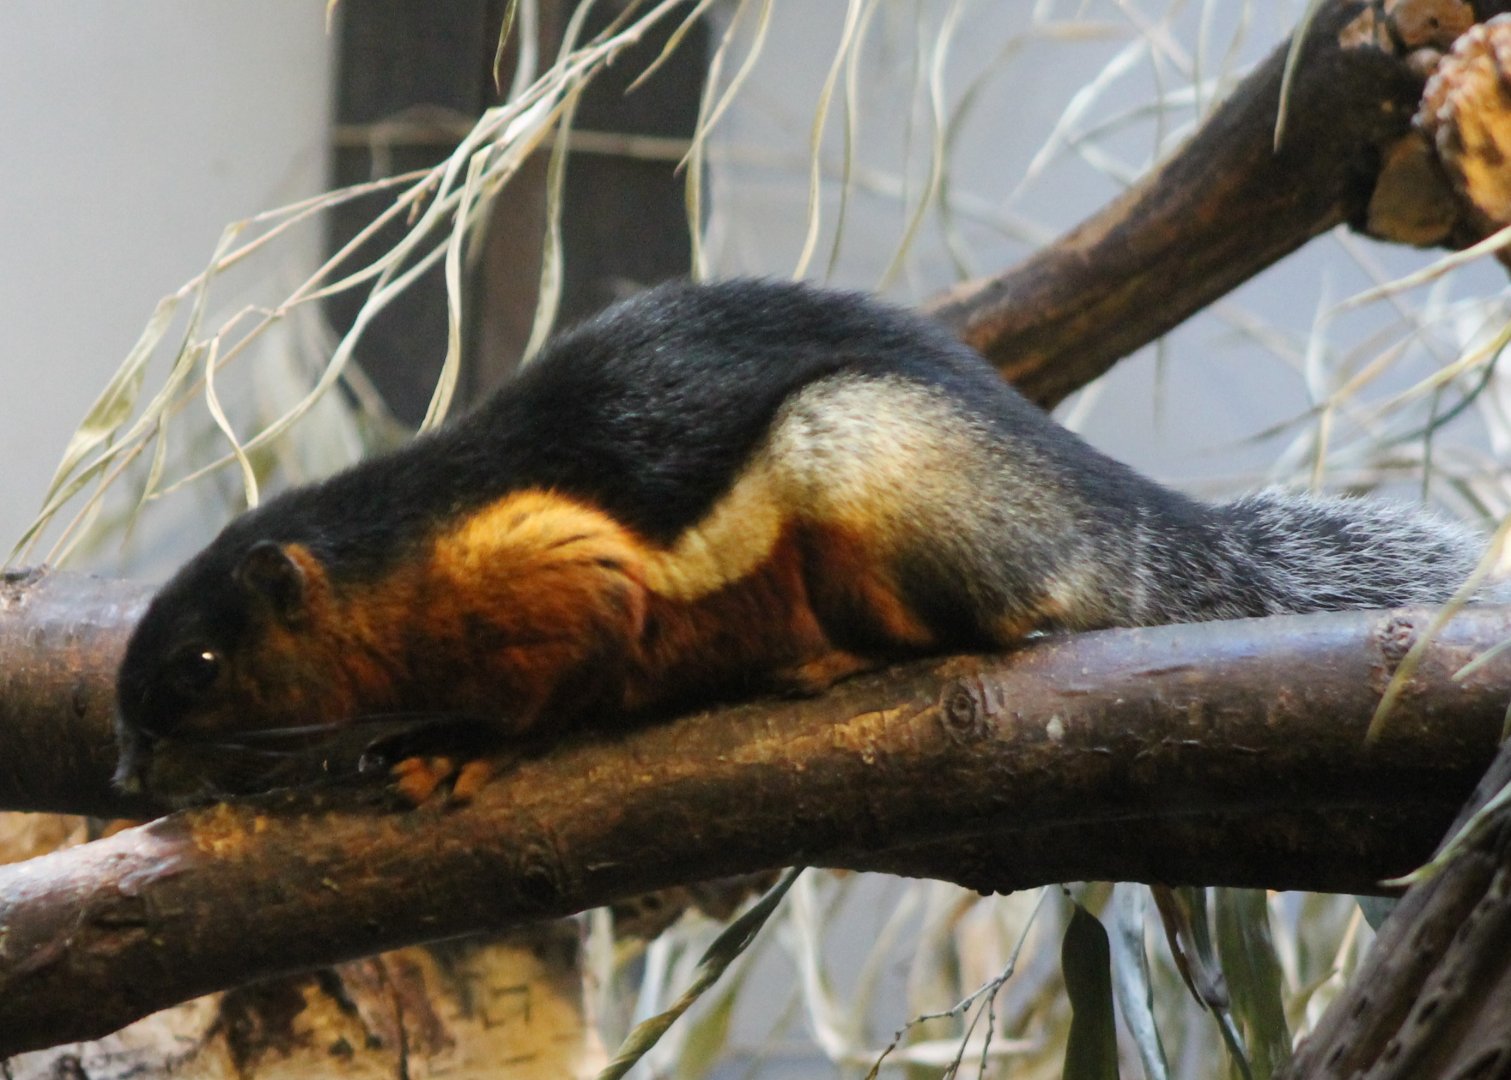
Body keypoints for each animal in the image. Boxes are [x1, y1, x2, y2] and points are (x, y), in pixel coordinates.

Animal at [114, 278, 1500, 803]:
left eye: (199, 664)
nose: (126, 776)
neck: (397, 557)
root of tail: (1092, 509)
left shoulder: (565, 572)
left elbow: (557, 683)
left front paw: (457, 746)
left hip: (868, 467)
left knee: (1004, 625)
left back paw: (833, 662)